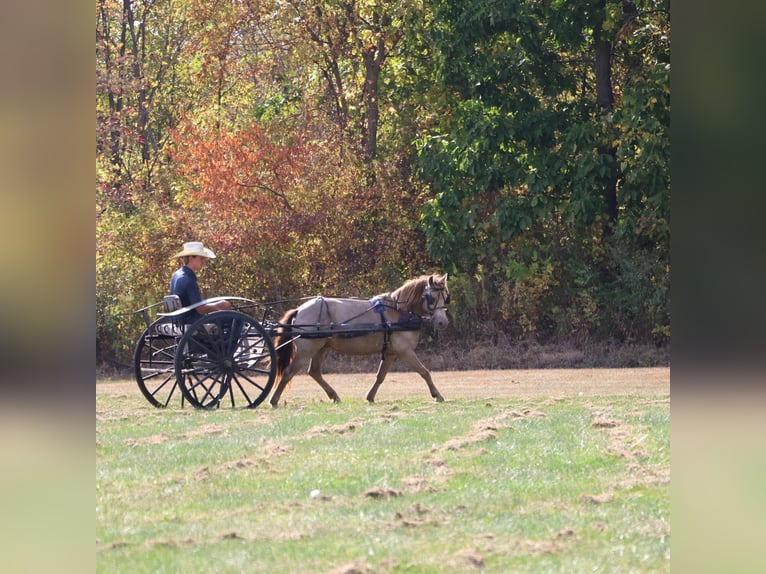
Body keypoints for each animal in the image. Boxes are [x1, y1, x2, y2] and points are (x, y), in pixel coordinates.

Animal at [269, 274, 450, 407]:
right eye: (431, 298)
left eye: (446, 297)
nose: (443, 323)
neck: (399, 312)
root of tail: (299, 309)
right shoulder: (405, 352)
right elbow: (424, 372)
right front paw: (437, 395)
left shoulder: (391, 353)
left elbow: (380, 376)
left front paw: (370, 396)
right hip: (307, 350)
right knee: (289, 372)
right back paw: (274, 400)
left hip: (320, 348)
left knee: (314, 372)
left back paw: (334, 396)